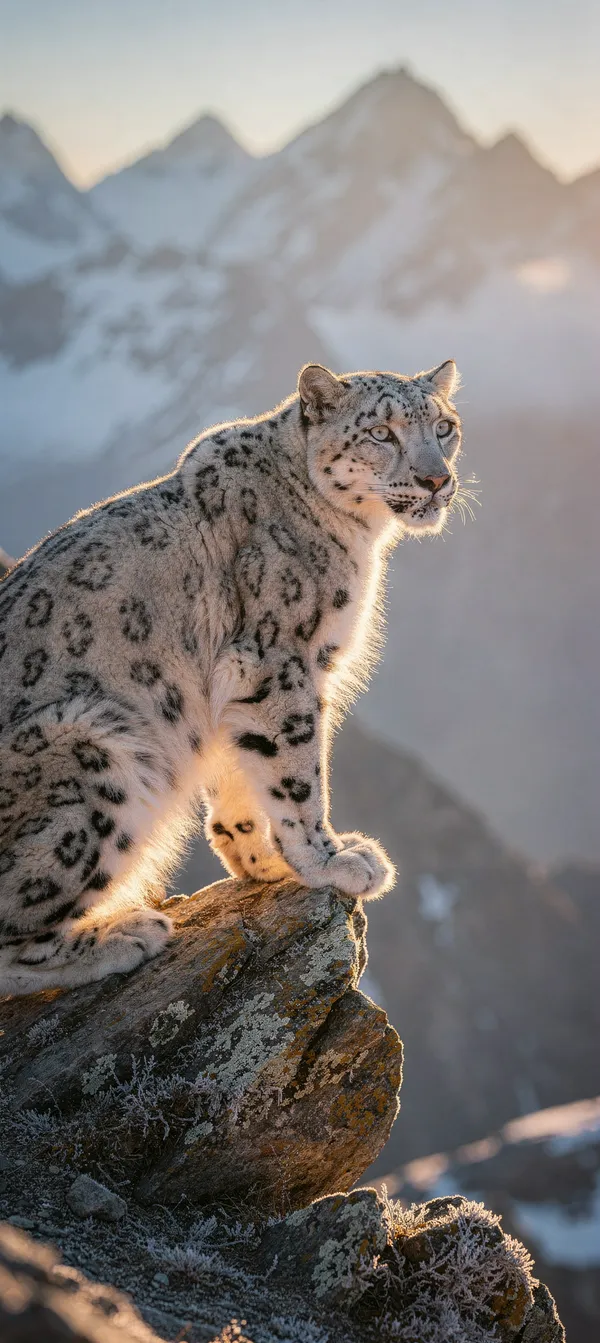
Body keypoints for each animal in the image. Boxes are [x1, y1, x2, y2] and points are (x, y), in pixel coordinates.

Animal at [0, 359, 462, 995]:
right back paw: (124, 935)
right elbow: (298, 775)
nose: (436, 480)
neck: (360, 539)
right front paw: (330, 860)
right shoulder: (277, 662)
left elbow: (242, 779)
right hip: (96, 748)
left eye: (443, 427)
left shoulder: (242, 689)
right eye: (380, 433)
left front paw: (267, 862)